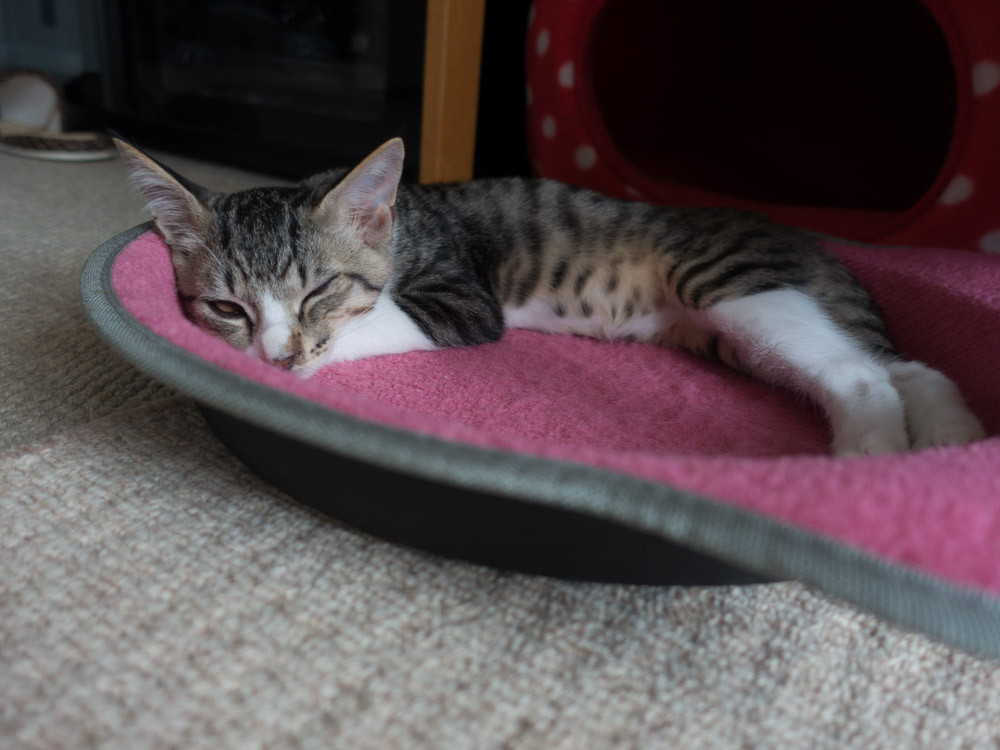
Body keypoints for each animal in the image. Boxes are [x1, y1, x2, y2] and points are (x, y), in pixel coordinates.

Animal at [115, 137, 985, 456]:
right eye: (226, 307)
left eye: (322, 290)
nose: (275, 352)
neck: (401, 228)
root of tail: (809, 241)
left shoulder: (464, 301)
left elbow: (378, 322)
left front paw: (305, 358)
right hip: (737, 330)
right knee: (905, 366)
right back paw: (948, 437)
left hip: (730, 281)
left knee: (861, 371)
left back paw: (867, 459)